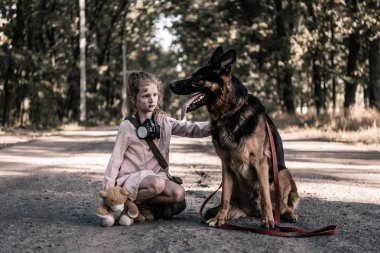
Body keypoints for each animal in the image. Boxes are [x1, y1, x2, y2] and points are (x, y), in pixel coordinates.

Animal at [170, 46, 300, 228]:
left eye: (197, 78)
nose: (170, 85)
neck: (231, 112)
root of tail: (251, 210)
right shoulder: (226, 164)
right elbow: (224, 197)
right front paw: (219, 219)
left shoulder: (260, 162)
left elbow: (266, 197)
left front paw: (268, 221)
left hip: (281, 172)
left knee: (281, 203)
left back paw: (287, 214)